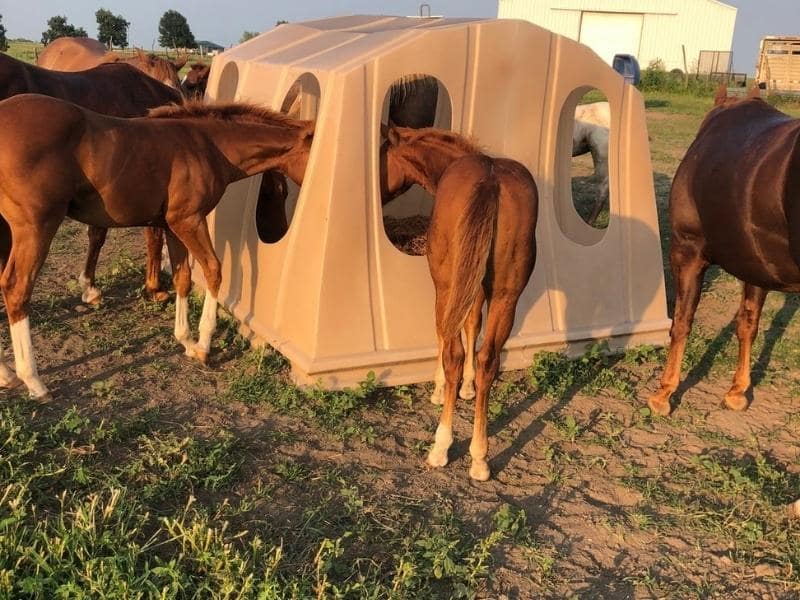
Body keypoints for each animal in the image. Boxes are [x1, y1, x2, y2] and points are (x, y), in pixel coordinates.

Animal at [0, 96, 312, 400]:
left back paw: (8, 375)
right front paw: (203, 346)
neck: (207, 145)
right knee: (16, 288)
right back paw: (34, 381)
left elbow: (183, 277)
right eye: (279, 192)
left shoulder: (173, 226)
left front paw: (186, 340)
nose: (278, 232)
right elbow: (213, 270)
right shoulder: (188, 220)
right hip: (37, 226)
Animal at [380, 127, 536, 482]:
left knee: (453, 350)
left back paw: (441, 446)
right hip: (506, 296)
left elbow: (444, 335)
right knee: (488, 358)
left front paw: (441, 390)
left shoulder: (445, 287)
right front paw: (467, 387)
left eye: (382, 155)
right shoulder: (476, 287)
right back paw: (479, 457)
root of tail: (490, 179)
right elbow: (473, 326)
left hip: (448, 282)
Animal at [648, 85, 800, 418]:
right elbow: (747, 325)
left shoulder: (687, 252)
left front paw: (664, 393)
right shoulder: (755, 268)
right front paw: (737, 392)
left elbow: (681, 322)